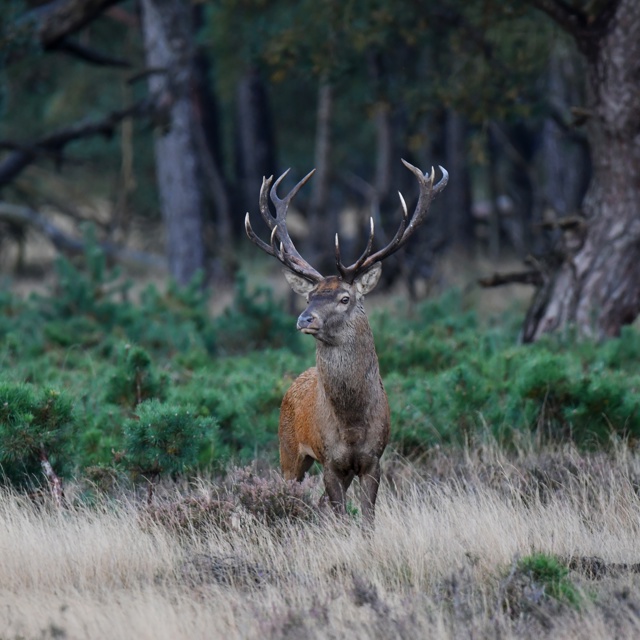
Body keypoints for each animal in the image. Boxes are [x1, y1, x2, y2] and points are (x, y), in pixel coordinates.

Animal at [245, 159, 448, 525]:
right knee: (291, 488)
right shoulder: (330, 461)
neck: (352, 425)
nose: (304, 318)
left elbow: (367, 518)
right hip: (287, 449)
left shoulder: (373, 460)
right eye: (309, 296)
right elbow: (341, 515)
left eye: (344, 298)